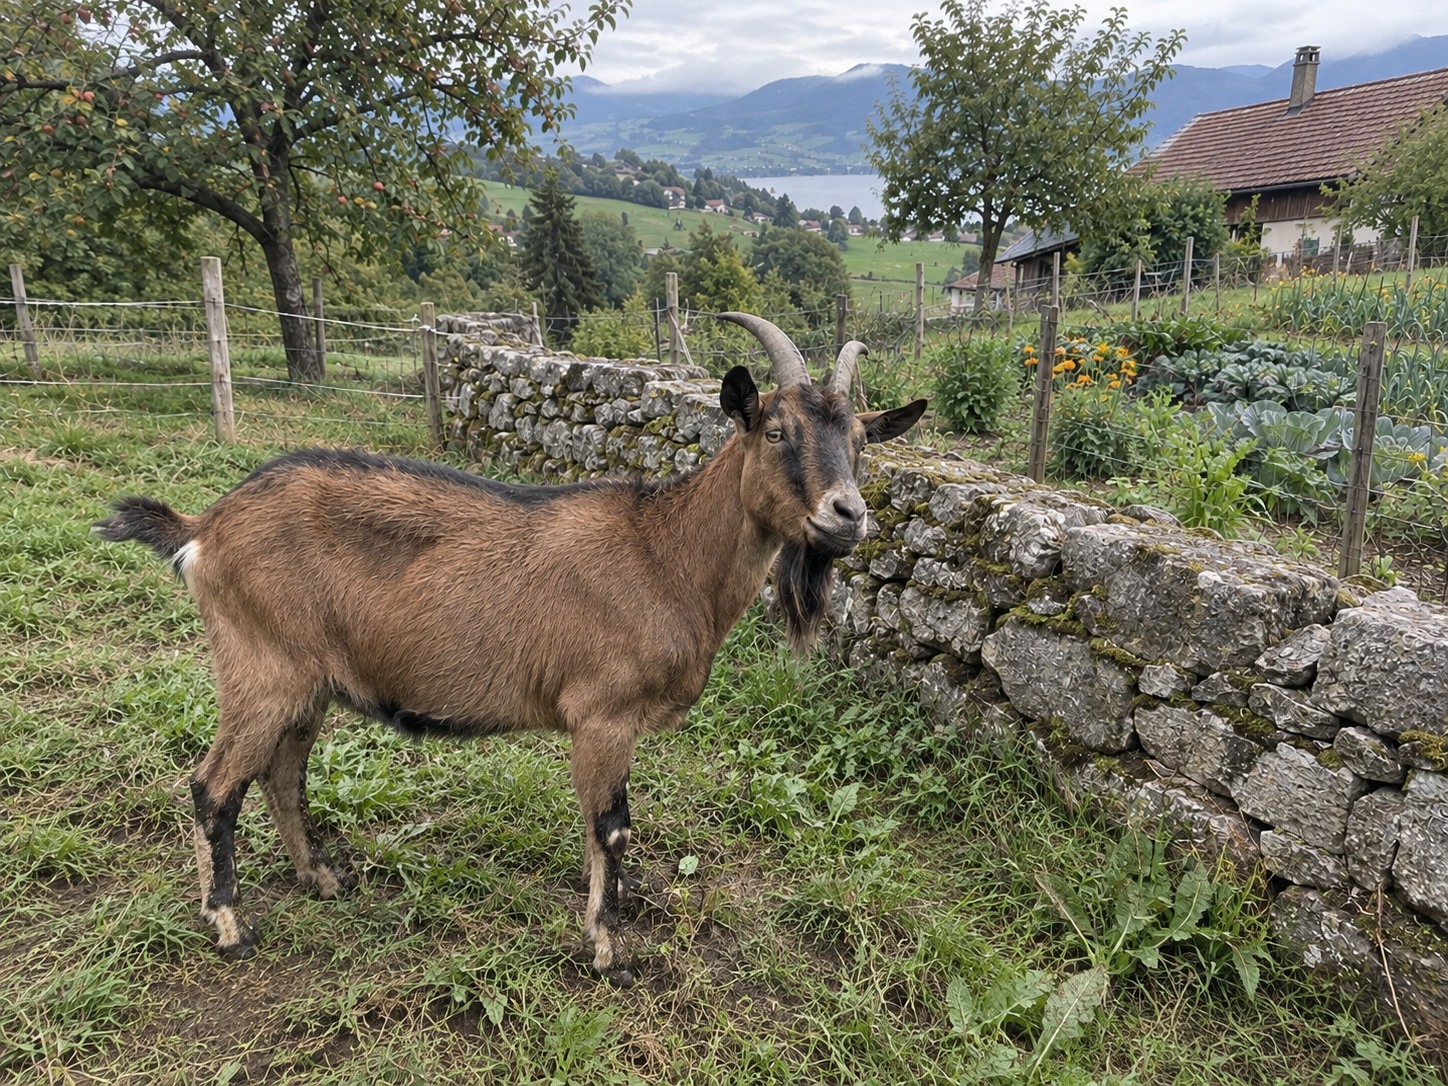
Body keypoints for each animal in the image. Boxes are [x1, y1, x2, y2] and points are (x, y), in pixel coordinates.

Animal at [95, 313, 927, 984]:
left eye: (861, 443)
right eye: (776, 431)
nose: (848, 516)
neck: (666, 554)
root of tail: (205, 527)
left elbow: (601, 830)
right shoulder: (602, 715)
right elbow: (611, 827)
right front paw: (608, 952)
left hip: (308, 682)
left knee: (280, 772)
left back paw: (322, 878)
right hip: (260, 668)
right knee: (213, 785)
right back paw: (230, 925)